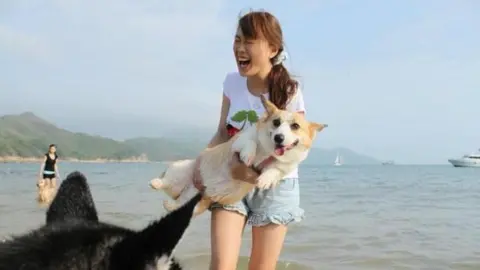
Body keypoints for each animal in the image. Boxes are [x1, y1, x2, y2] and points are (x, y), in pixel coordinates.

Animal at [150, 95, 326, 215]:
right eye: (276, 122)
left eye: (295, 126)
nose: (278, 138)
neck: (267, 151)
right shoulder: (239, 141)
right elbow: (251, 143)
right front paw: (248, 156)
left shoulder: (285, 166)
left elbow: (275, 169)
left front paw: (264, 179)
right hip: (180, 169)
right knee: (166, 182)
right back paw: (156, 183)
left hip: (195, 200)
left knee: (178, 206)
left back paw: (171, 204)